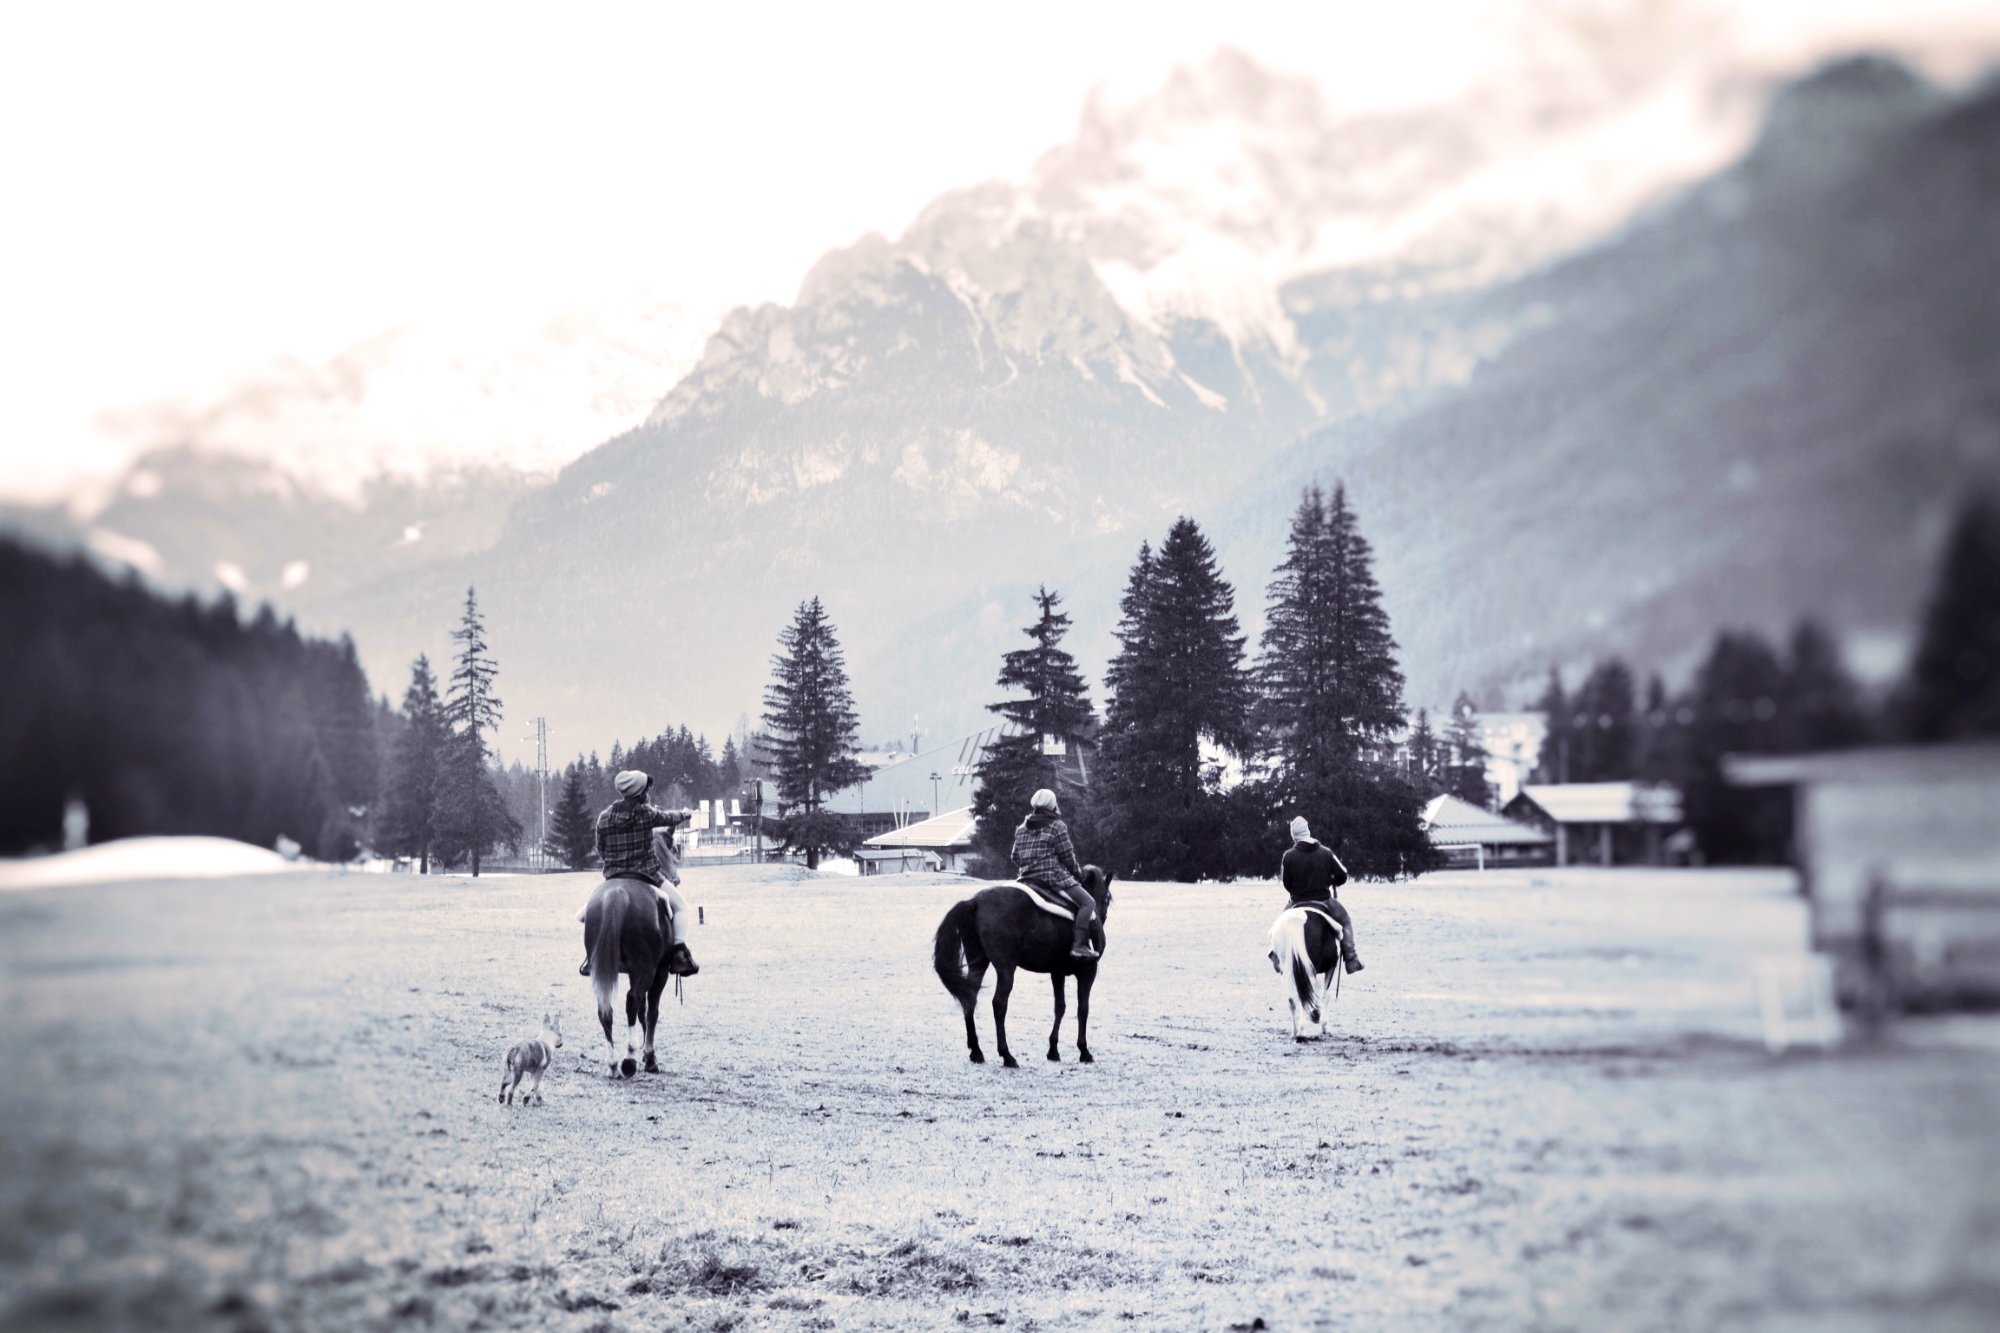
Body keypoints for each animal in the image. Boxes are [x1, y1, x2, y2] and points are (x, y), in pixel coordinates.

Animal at [580, 876, 672, 1072]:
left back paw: (613, 1065)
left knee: (605, 1009)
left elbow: (642, 1010)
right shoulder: (660, 972)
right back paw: (630, 1058)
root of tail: (617, 893)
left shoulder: (633, 973)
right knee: (632, 1000)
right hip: (647, 969)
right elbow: (652, 1012)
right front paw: (649, 1057)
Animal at [932, 860, 1112, 1072]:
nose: (1102, 917)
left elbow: (1060, 1007)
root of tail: (975, 902)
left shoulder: (1057, 973)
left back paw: (976, 1052)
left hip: (979, 962)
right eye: (1107, 899)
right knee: (999, 1004)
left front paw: (1053, 1051)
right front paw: (1084, 1051)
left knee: (970, 997)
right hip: (1006, 968)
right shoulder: (1088, 971)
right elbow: (1083, 1008)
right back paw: (1007, 1055)